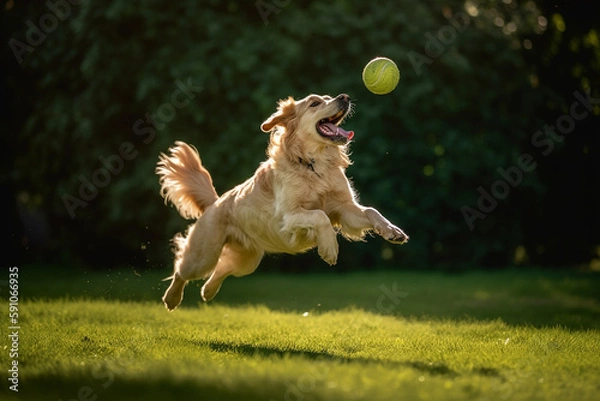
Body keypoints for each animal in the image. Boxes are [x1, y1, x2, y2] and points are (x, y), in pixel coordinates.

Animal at [156, 94, 408, 310]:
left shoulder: (344, 210)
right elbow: (320, 216)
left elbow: (371, 211)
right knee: (181, 270)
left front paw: (392, 231)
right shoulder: (289, 215)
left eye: (329, 97)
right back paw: (172, 298)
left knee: (220, 270)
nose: (344, 97)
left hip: (247, 260)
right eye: (315, 103)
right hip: (203, 256)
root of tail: (215, 202)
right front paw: (329, 248)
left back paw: (207, 292)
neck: (314, 165)